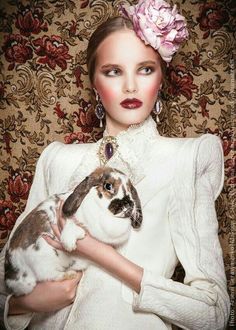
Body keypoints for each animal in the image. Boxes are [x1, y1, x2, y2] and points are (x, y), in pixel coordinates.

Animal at [5, 168, 142, 296]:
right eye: (108, 186)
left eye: (130, 189)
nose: (129, 204)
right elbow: (70, 224)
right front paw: (70, 243)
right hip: (41, 260)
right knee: (49, 276)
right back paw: (69, 274)